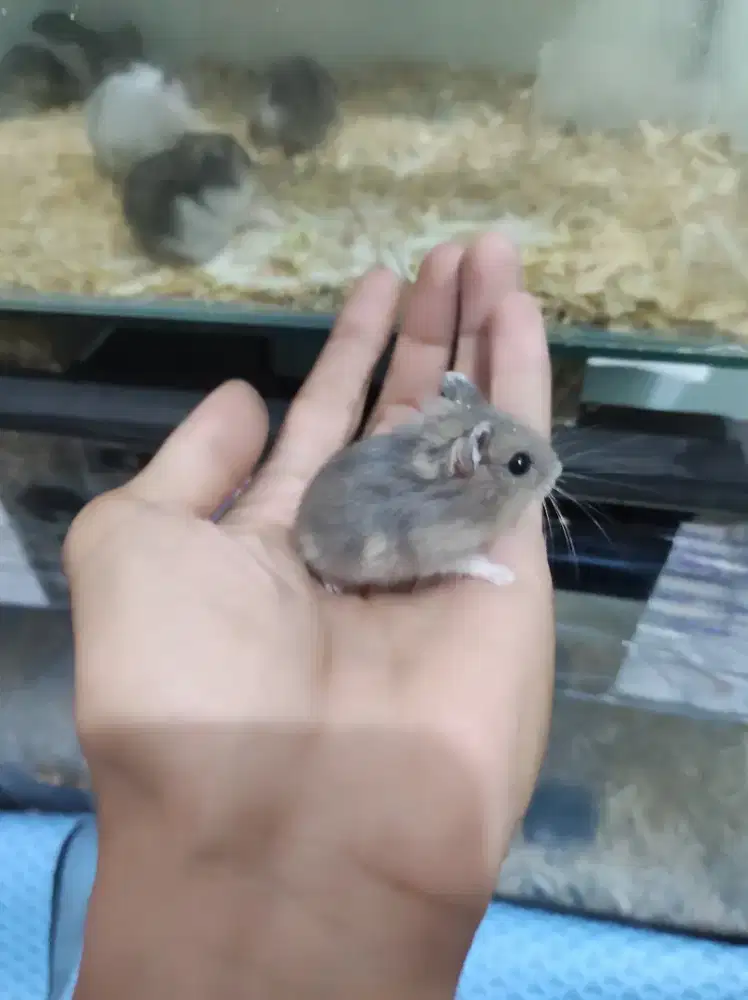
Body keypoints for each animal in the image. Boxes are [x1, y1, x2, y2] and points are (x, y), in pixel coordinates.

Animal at [294, 371, 562, 592]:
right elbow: (472, 562)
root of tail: (296, 526)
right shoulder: (440, 549)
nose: (558, 469)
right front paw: (506, 576)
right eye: (520, 464)